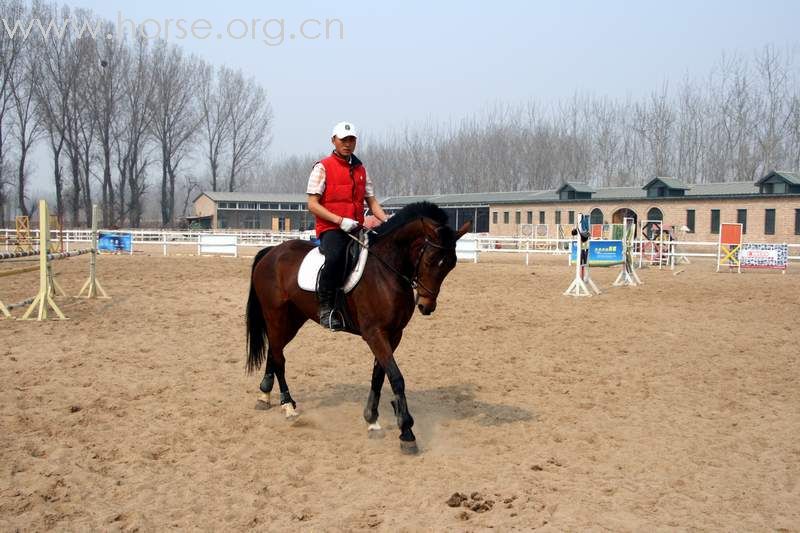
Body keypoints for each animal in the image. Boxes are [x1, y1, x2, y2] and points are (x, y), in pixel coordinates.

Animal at [244, 202, 468, 450]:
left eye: (451, 265)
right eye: (429, 260)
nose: (426, 306)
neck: (387, 269)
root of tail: (272, 252)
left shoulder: (393, 334)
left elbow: (379, 375)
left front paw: (372, 419)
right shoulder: (375, 333)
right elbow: (396, 378)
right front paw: (406, 431)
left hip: (293, 318)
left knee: (274, 351)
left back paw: (265, 395)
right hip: (275, 315)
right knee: (278, 356)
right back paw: (287, 405)